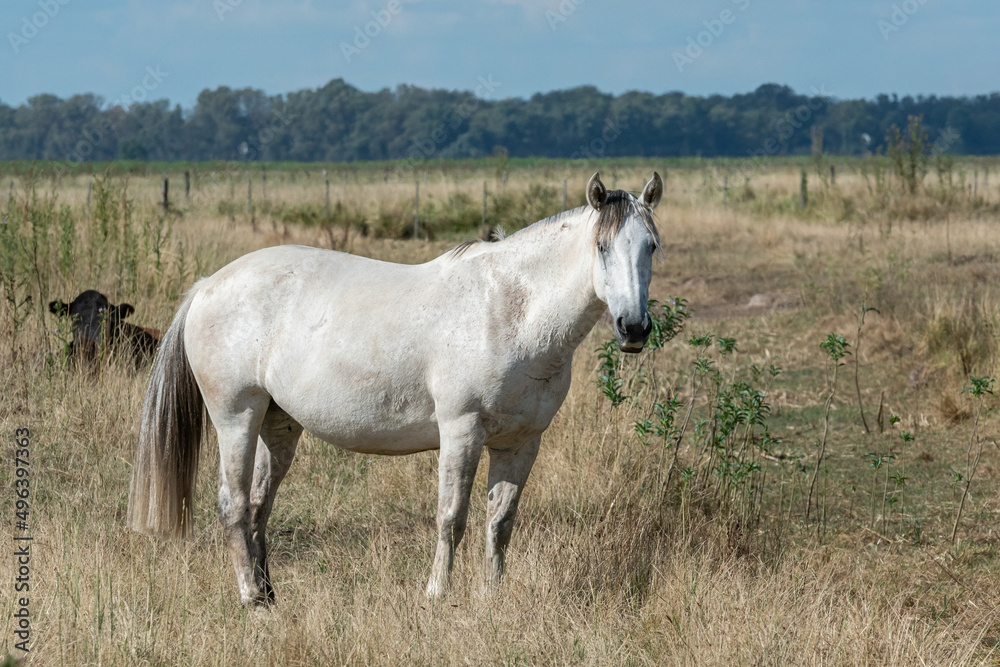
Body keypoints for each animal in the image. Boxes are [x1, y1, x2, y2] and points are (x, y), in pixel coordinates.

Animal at [127, 171, 663, 605]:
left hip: (277, 425)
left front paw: (492, 598)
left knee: (259, 505)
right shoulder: (462, 432)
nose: (634, 328)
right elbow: (452, 517)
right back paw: (250, 598)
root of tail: (208, 284)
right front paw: (437, 595)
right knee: (234, 505)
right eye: (602, 248)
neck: (509, 312)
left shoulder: (521, 443)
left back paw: (269, 594)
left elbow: (500, 523)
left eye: (651, 247)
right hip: (236, 418)